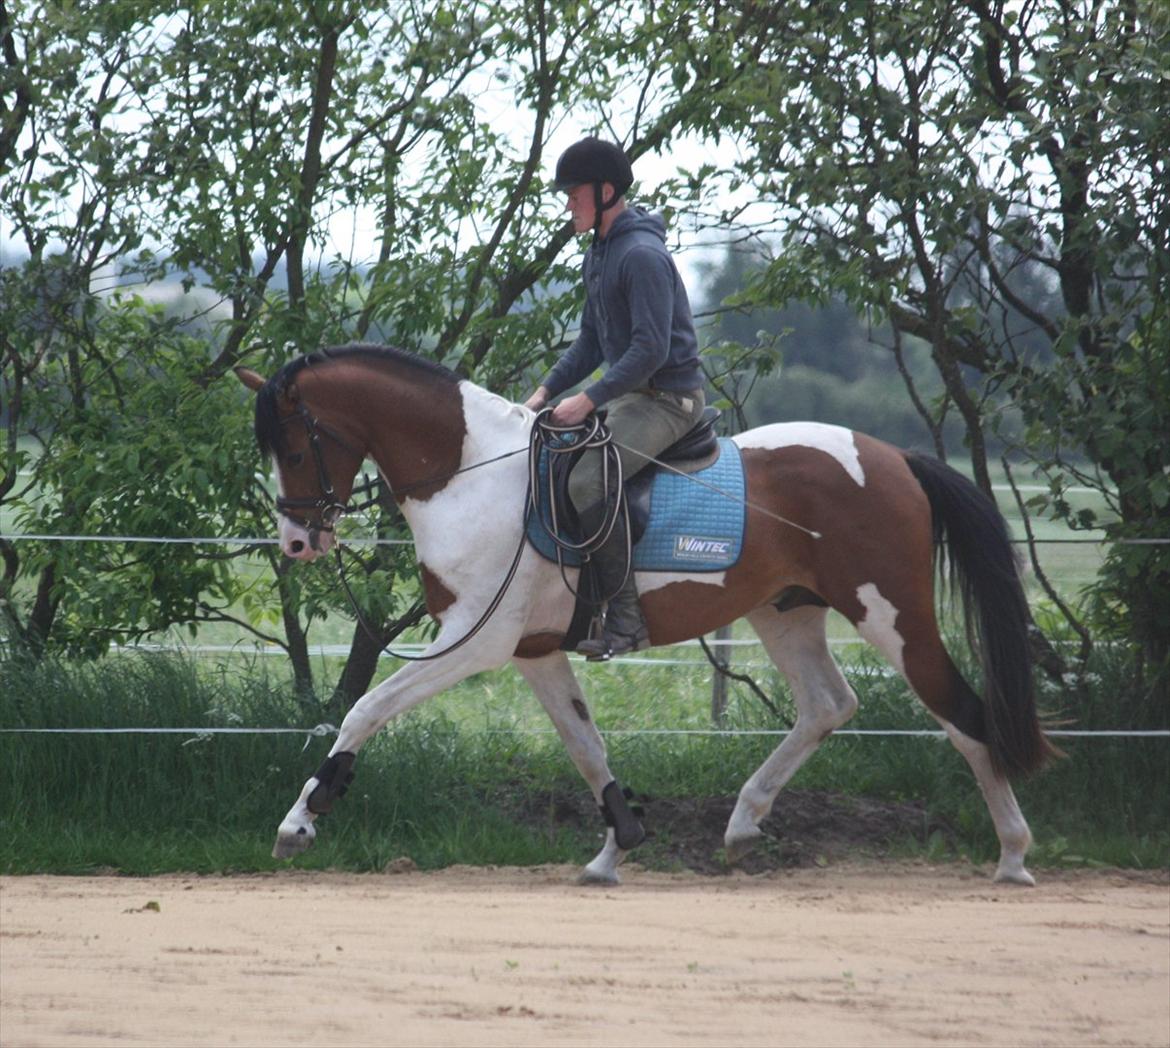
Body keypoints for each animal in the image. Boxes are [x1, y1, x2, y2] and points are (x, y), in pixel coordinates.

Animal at [235, 343, 1053, 884]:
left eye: (295, 449)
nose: (299, 541)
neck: (469, 474)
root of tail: (892, 459)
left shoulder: (475, 641)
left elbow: (365, 710)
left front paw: (300, 821)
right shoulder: (533, 649)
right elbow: (586, 745)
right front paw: (616, 844)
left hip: (891, 613)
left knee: (963, 716)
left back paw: (1014, 855)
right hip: (785, 612)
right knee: (828, 704)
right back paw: (743, 825)